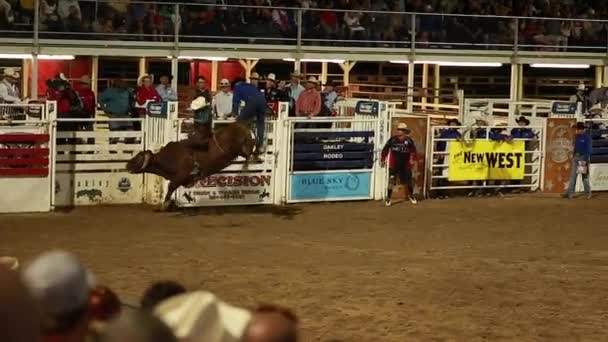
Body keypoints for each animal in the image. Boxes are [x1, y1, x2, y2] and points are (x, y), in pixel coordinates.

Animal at [126, 120, 254, 211]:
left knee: (248, 153)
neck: (170, 157)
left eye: (139, 157)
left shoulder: (180, 175)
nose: (127, 165)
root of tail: (241, 125)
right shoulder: (183, 179)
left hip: (238, 148)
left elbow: (171, 186)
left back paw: (247, 164)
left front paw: (165, 205)